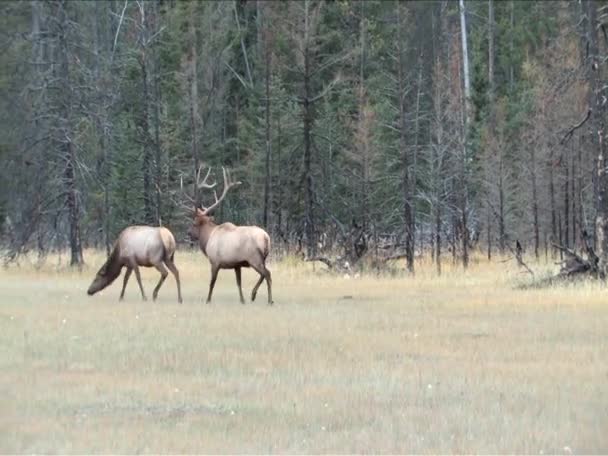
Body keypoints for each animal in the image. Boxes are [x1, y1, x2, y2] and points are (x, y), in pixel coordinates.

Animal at [190, 166, 274, 304]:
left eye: (194, 223)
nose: (189, 234)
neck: (208, 238)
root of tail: (266, 238)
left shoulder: (215, 262)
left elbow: (212, 283)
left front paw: (208, 300)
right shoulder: (237, 265)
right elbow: (238, 283)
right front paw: (242, 300)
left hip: (254, 258)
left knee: (267, 274)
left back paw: (265, 298)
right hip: (262, 258)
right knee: (265, 274)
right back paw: (255, 295)